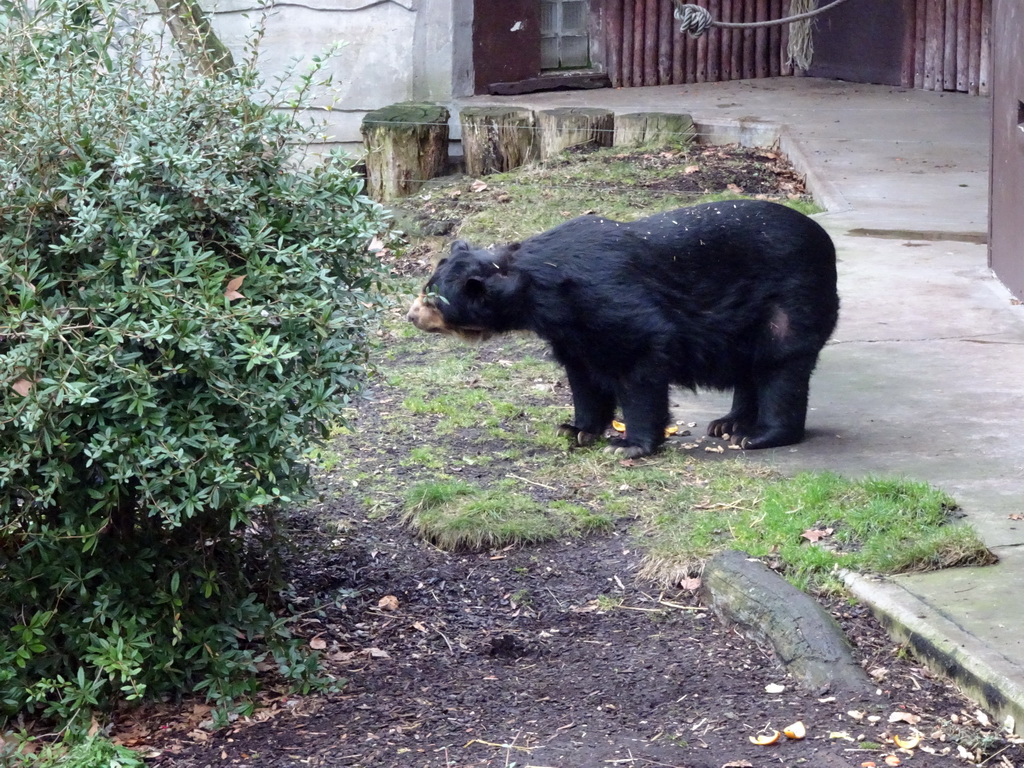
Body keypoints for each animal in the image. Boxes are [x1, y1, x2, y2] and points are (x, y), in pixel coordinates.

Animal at [407, 201, 839, 460]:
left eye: (432, 298)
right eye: (426, 289)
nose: (410, 316)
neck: (541, 292)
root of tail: (825, 240)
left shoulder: (610, 296)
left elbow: (641, 359)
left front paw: (628, 444)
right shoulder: (571, 329)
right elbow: (583, 375)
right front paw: (577, 429)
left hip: (791, 299)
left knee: (782, 366)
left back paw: (759, 435)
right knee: (751, 366)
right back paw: (729, 423)